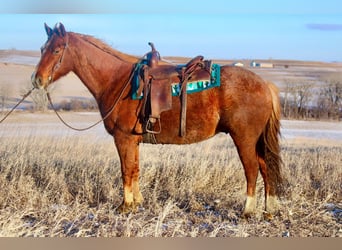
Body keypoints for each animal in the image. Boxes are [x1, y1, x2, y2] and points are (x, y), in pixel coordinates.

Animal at [32, 23, 284, 219]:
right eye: (43, 48)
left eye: (56, 50)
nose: (37, 80)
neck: (117, 80)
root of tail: (265, 85)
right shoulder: (133, 141)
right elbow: (134, 169)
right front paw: (137, 202)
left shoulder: (123, 139)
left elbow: (126, 170)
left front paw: (125, 206)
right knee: (265, 167)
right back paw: (268, 210)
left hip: (244, 138)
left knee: (252, 169)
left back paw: (248, 210)